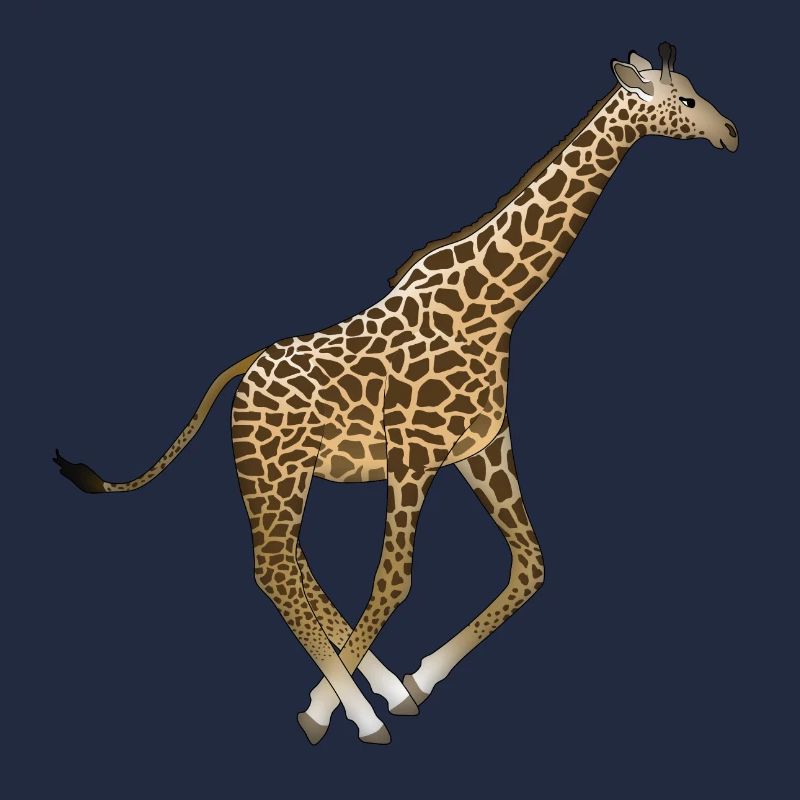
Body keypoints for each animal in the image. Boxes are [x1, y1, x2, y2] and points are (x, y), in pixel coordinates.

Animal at [55, 42, 737, 744]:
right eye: (685, 98)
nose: (731, 133)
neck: (494, 308)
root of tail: (243, 371)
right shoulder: (412, 457)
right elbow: (395, 581)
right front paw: (325, 711)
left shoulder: (482, 448)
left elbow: (531, 565)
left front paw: (414, 682)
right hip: (273, 473)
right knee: (274, 570)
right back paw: (356, 708)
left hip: (283, 476)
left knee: (296, 567)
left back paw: (373, 687)